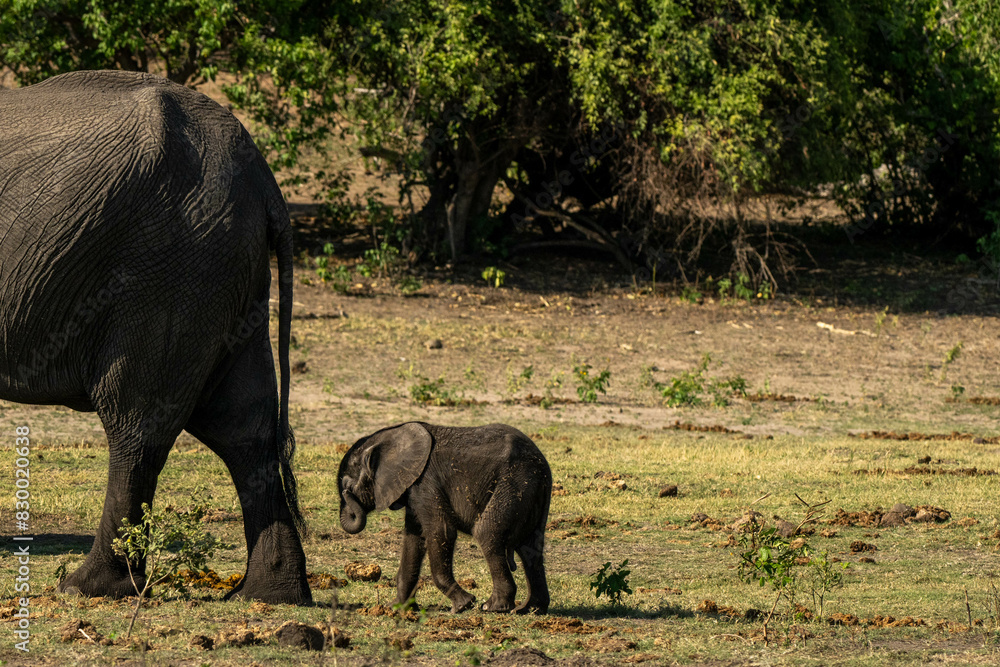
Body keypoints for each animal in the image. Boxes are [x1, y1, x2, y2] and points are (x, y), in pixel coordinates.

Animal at [0, 70, 310, 604]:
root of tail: (264, 182)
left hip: (170, 272)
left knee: (137, 426)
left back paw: (86, 587)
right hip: (228, 282)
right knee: (244, 426)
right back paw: (269, 594)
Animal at [338, 422, 551, 614]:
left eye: (347, 484)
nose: (348, 491)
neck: (390, 437)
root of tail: (542, 465)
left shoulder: (425, 483)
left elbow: (440, 531)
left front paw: (464, 605)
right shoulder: (414, 488)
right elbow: (413, 538)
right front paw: (396, 609)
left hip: (514, 484)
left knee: (487, 532)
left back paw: (492, 607)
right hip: (530, 491)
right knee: (530, 548)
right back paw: (531, 609)